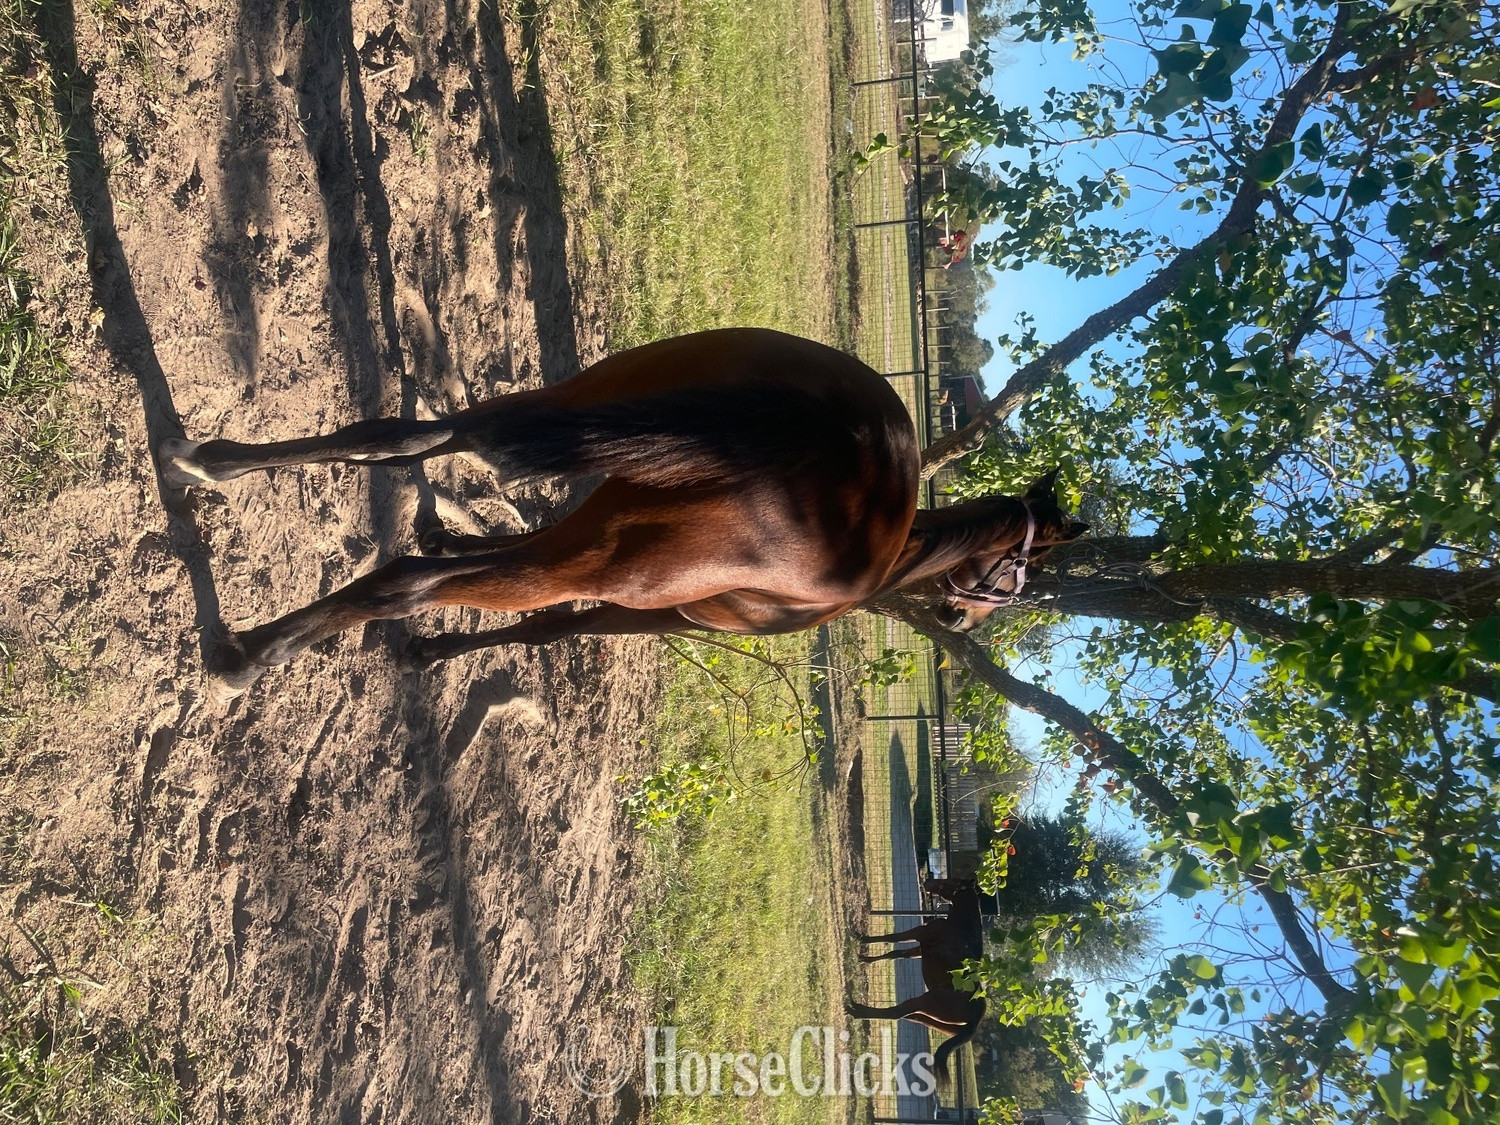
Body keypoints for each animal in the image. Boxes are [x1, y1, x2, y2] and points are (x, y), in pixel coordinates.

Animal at [157, 328, 1086, 694]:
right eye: (1026, 564)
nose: (964, 618)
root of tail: (836, 434)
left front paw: (440, 556)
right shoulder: (653, 615)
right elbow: (543, 631)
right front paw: (431, 648)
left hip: (582, 404)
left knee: (408, 436)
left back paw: (206, 461)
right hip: (612, 559)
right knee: (410, 581)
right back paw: (248, 655)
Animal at [847, 877, 987, 1083]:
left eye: (953, 880)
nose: (927, 881)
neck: (961, 927)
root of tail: (976, 1016)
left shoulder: (919, 933)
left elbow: (893, 937)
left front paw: (861, 938)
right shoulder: (920, 948)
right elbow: (895, 954)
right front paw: (865, 958)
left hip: (927, 1002)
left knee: (897, 1012)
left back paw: (856, 1010)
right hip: (939, 1021)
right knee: (913, 1016)